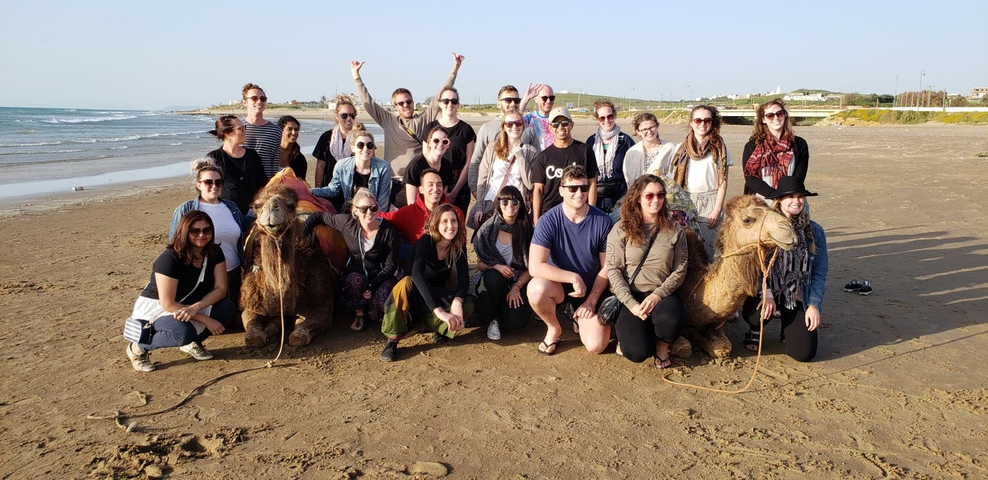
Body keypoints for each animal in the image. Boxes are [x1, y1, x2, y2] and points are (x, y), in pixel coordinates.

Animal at [240, 184, 336, 347]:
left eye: (291, 205)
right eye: (256, 205)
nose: (272, 208)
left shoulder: (321, 299)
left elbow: (299, 336)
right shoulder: (252, 302)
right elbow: (254, 334)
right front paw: (267, 332)